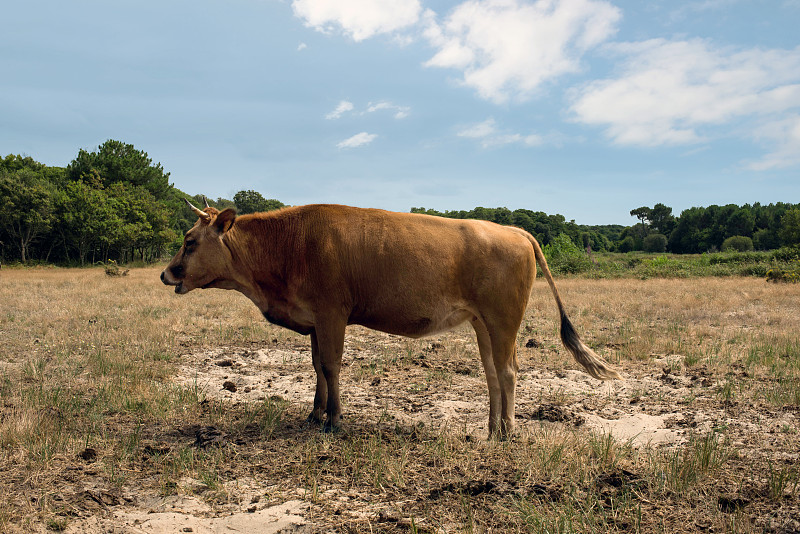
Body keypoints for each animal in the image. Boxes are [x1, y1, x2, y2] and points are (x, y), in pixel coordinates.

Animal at [161, 201, 620, 440]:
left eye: (190, 241)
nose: (167, 273)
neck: (291, 245)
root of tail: (513, 230)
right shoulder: (315, 321)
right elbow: (317, 367)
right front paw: (314, 415)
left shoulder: (332, 313)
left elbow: (331, 366)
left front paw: (334, 420)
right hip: (483, 323)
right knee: (493, 372)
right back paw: (490, 429)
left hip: (502, 319)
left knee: (507, 372)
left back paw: (506, 433)